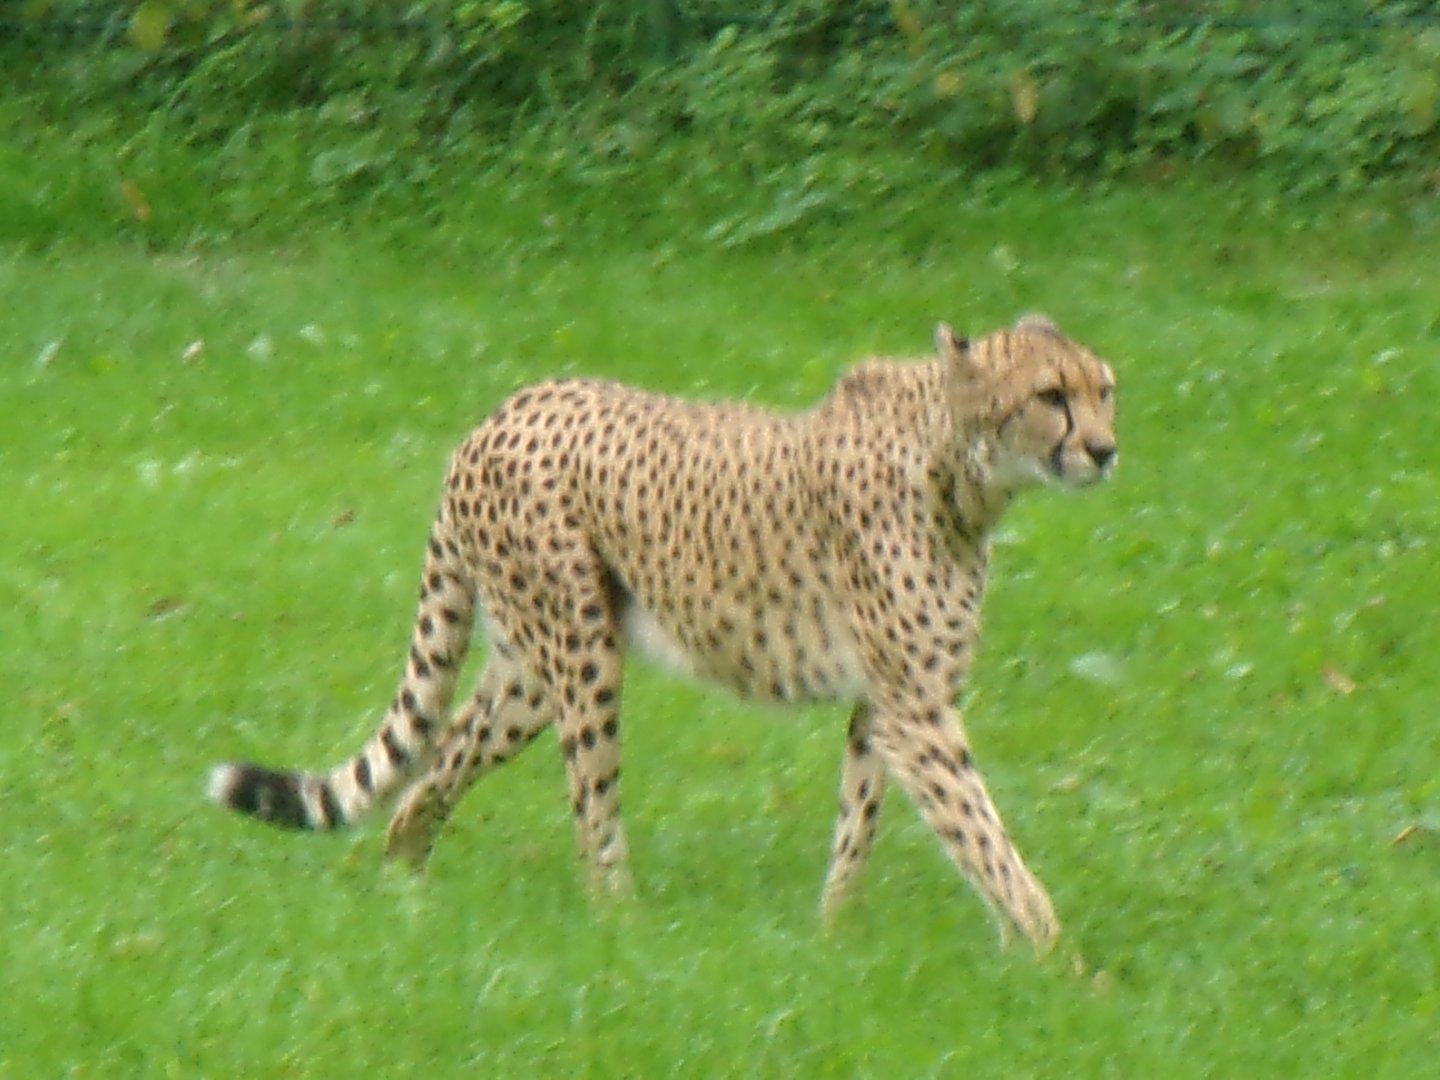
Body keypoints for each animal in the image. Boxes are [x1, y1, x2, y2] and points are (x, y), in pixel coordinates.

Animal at [209, 313, 1118, 950]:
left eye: (1105, 390)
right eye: (1050, 397)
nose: (1107, 451)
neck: (959, 466)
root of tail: (500, 412)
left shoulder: (883, 707)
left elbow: (861, 825)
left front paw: (836, 934)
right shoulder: (918, 710)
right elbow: (984, 837)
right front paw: (1064, 963)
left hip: (528, 670)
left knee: (439, 762)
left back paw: (408, 886)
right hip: (581, 654)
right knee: (589, 805)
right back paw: (623, 928)